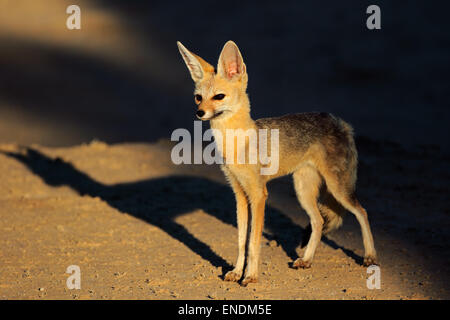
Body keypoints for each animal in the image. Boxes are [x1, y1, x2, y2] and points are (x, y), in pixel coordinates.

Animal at [176, 40, 376, 288]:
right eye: (198, 97)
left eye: (219, 96)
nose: (199, 112)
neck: (236, 144)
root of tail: (341, 121)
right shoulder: (240, 194)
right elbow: (241, 241)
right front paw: (236, 271)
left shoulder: (259, 194)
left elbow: (253, 243)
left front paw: (250, 276)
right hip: (303, 191)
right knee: (319, 221)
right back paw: (306, 259)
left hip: (339, 190)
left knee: (362, 212)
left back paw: (370, 256)